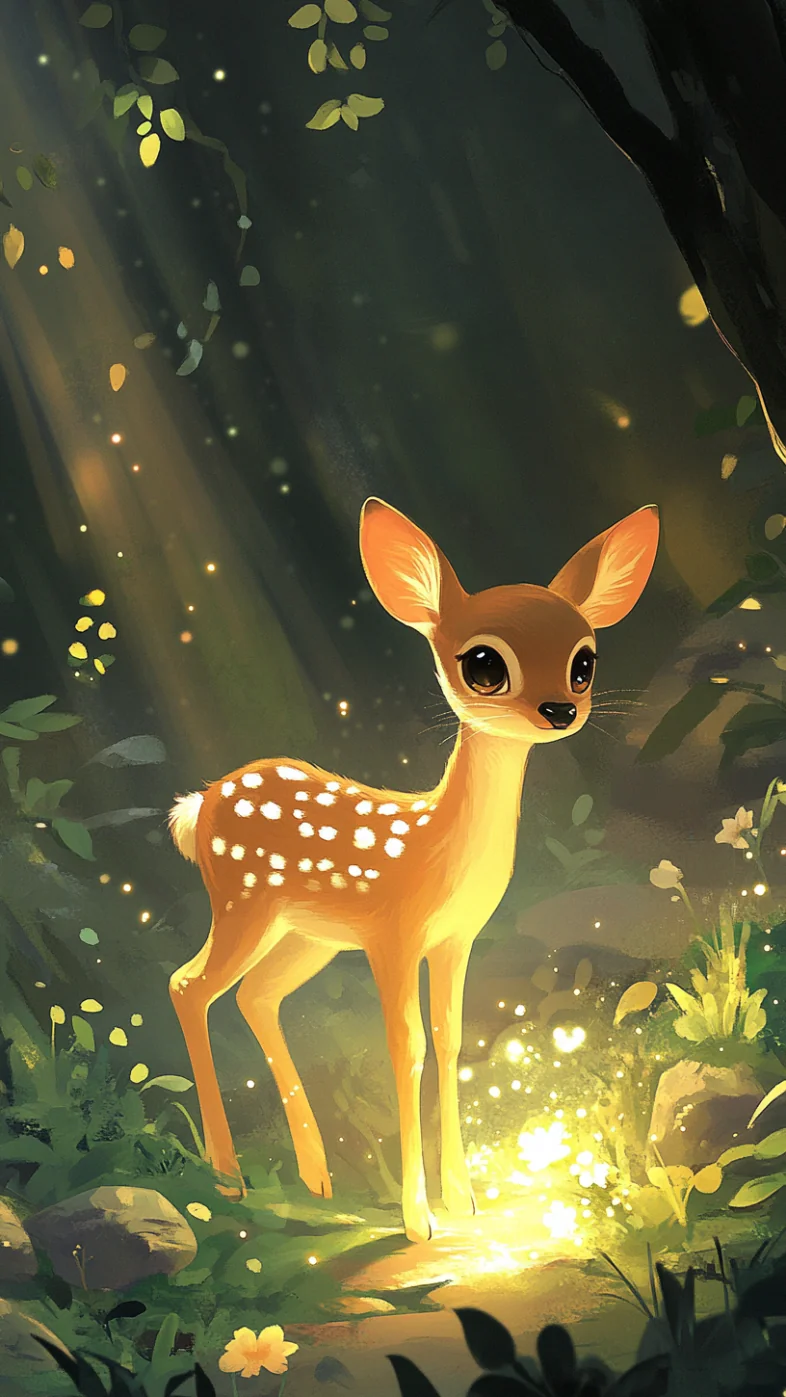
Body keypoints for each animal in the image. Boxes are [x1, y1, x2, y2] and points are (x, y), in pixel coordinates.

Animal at [168, 497, 659, 1243]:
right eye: (483, 664)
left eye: (585, 662)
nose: (560, 709)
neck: (438, 846)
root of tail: (201, 803)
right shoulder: (392, 934)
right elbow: (406, 1047)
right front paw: (418, 1220)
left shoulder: (455, 938)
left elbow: (450, 1039)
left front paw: (464, 1198)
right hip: (243, 903)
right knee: (188, 984)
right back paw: (229, 1178)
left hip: (307, 934)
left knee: (256, 996)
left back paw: (316, 1174)